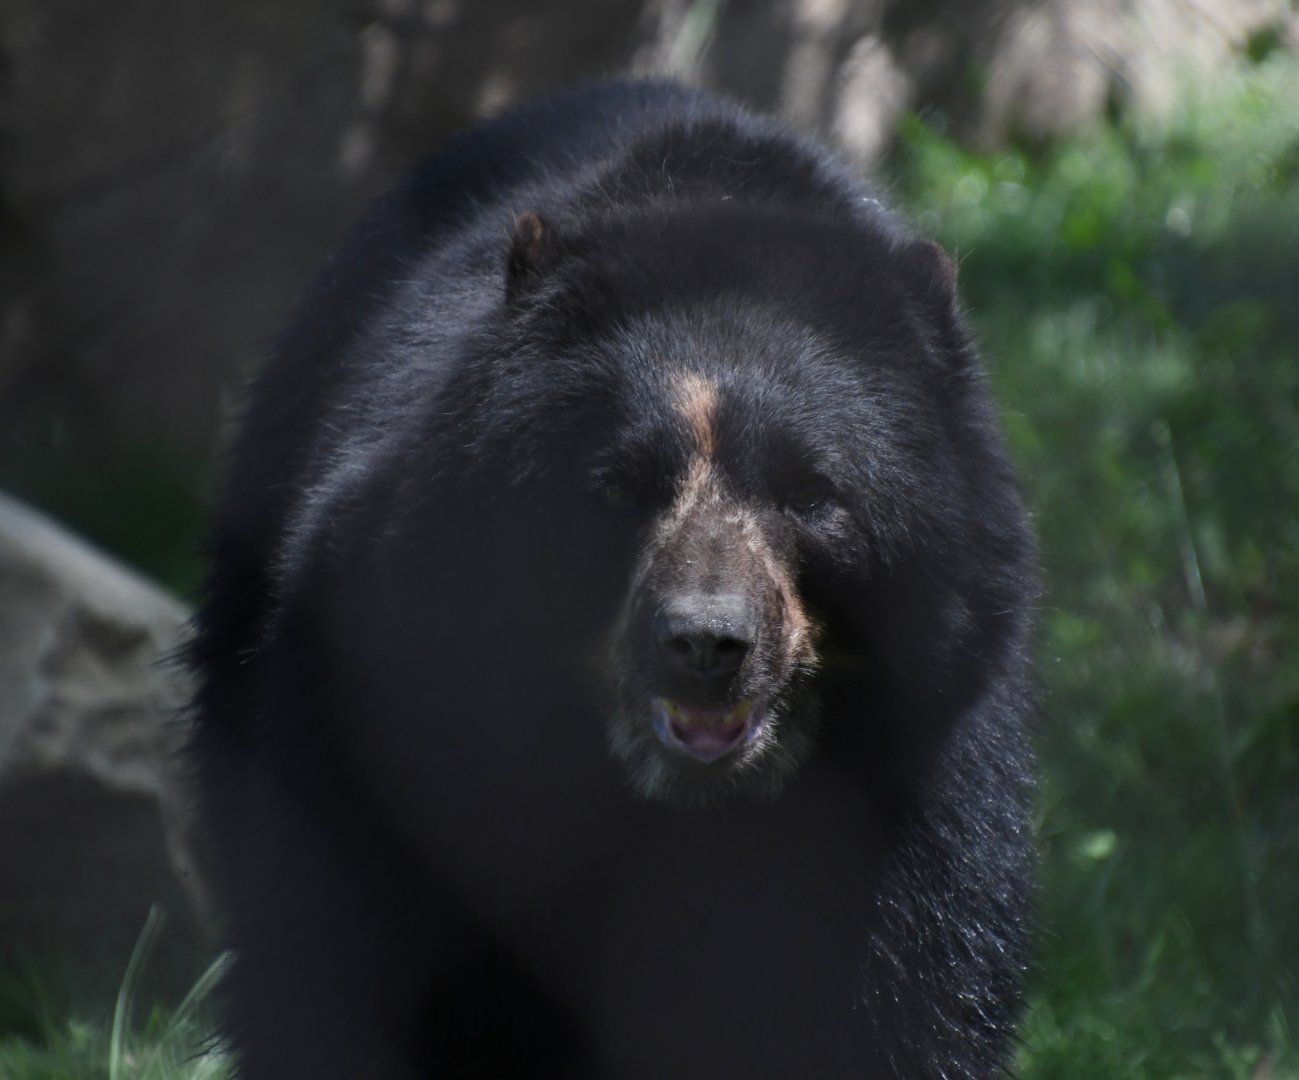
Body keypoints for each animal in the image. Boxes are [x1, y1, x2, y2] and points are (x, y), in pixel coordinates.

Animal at [187, 79, 1037, 1079]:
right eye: (617, 487)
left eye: (811, 492)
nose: (704, 645)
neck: (684, 810)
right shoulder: (391, 714)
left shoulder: (919, 790)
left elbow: (904, 1003)